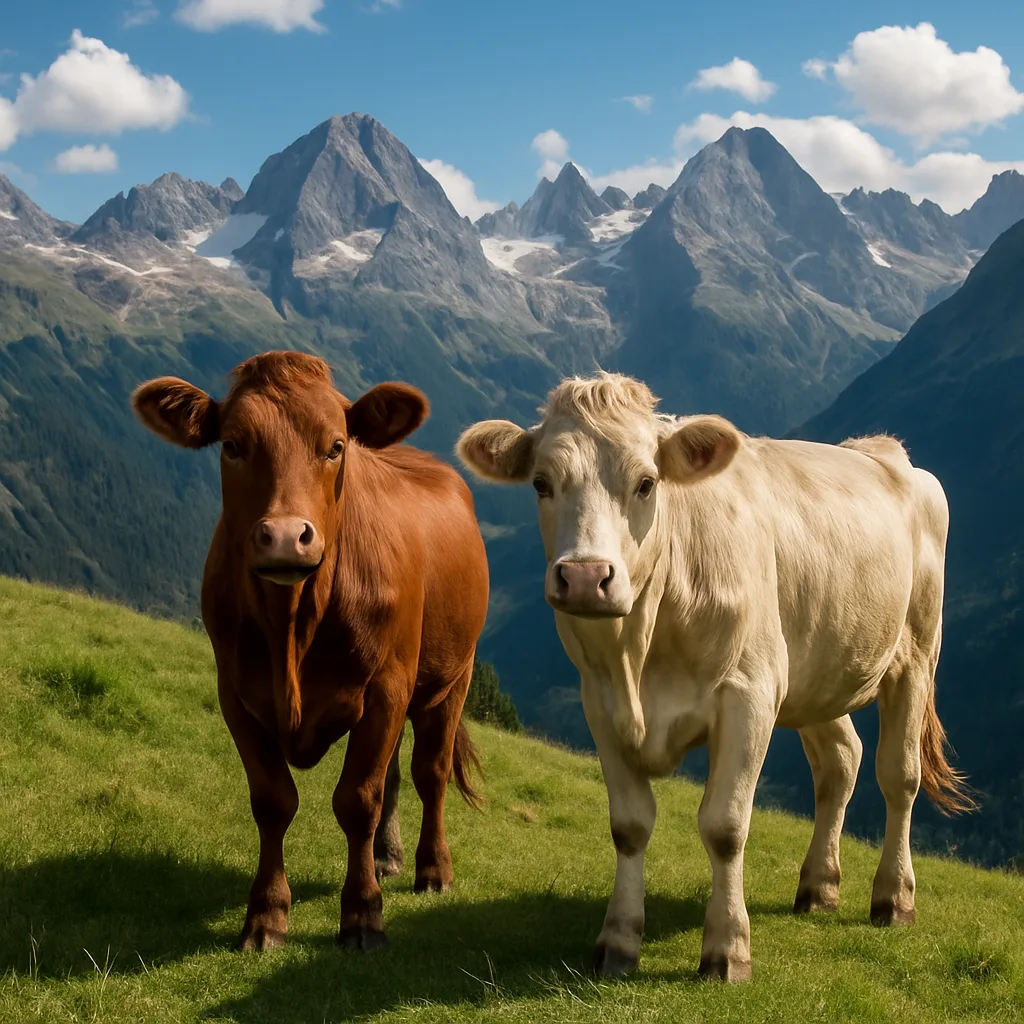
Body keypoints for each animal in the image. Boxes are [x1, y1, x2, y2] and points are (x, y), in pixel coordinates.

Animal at [132, 351, 489, 952]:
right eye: (233, 445)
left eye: (336, 446)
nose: (282, 536)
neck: (293, 627)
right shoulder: (235, 692)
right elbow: (273, 800)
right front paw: (266, 915)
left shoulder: (387, 686)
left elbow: (358, 799)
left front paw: (363, 915)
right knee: (397, 773)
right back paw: (387, 858)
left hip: (450, 679)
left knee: (430, 770)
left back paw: (432, 869)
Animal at [456, 371, 973, 982]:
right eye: (540, 483)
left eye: (647, 483)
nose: (584, 577)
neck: (640, 654)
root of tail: (884, 450)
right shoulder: (600, 702)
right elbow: (628, 825)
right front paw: (618, 940)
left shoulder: (748, 697)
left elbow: (725, 827)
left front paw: (727, 949)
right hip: (812, 674)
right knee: (841, 762)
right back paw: (818, 887)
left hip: (916, 653)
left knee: (899, 775)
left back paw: (893, 898)